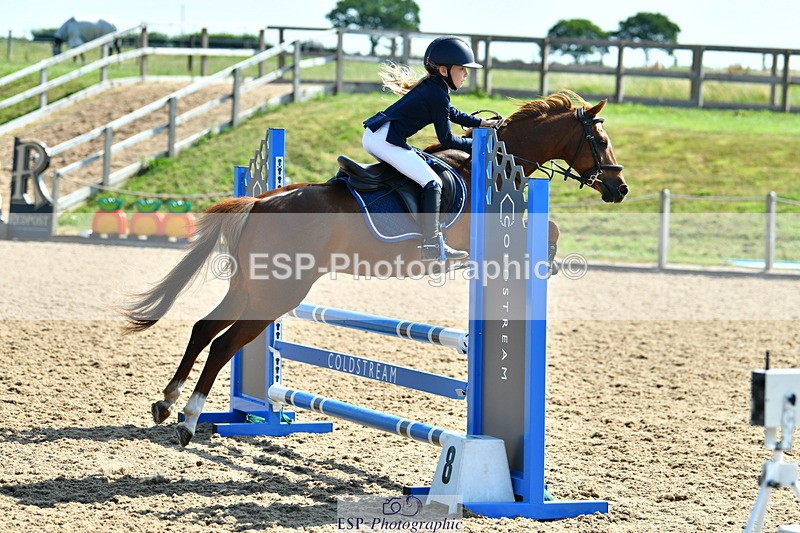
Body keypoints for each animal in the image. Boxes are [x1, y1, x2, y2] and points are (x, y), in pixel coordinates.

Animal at [120, 90, 628, 447]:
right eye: (600, 141)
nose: (619, 189)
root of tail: (260, 201)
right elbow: (551, 228)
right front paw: (550, 260)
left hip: (251, 288)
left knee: (204, 328)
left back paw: (167, 402)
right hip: (279, 293)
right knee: (224, 343)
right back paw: (188, 420)